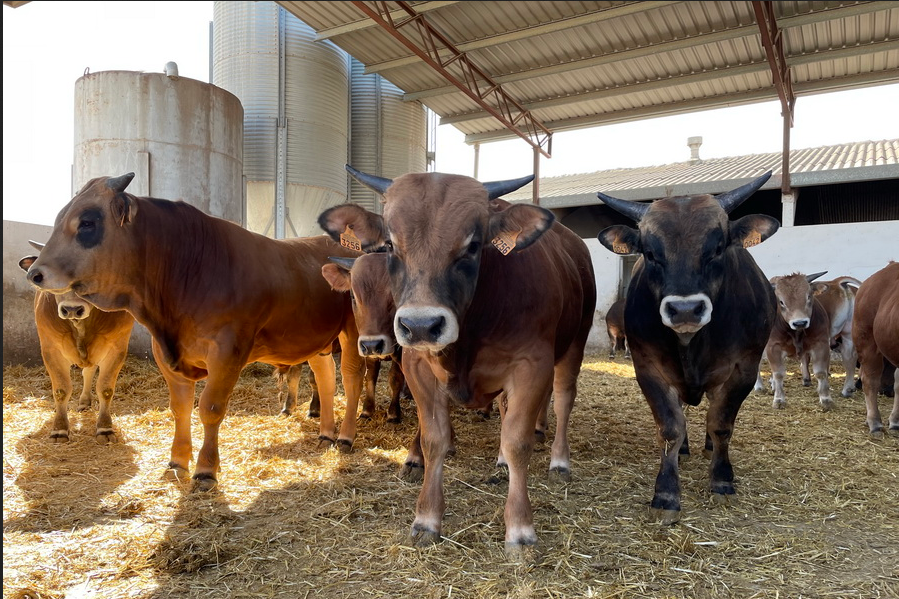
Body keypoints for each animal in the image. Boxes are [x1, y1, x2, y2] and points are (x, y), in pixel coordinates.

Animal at [18, 251, 135, 442]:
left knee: (88, 371)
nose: (72, 309)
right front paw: (59, 430)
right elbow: (61, 389)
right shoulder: (51, 349)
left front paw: (105, 429)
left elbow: (105, 389)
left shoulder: (117, 348)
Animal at [318, 166, 596, 560]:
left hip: (575, 341)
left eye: (473, 245)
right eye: (391, 245)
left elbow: (518, 441)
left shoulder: (532, 365)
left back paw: (559, 460)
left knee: (563, 397)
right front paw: (426, 519)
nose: (421, 325)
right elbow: (434, 438)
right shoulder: (417, 366)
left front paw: (520, 528)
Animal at [760, 274, 836, 410]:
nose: (800, 322)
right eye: (781, 302)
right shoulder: (773, 347)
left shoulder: (821, 344)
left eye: (808, 296)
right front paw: (779, 399)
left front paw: (826, 399)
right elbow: (778, 374)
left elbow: (821, 372)